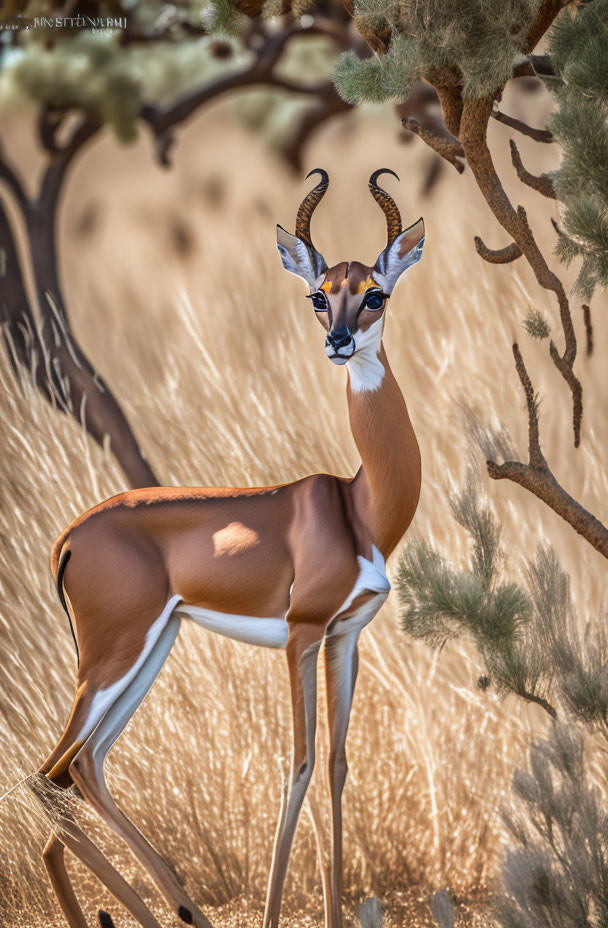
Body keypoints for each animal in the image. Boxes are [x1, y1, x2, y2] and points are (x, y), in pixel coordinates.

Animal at [35, 170, 426, 928]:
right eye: (318, 293)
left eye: (375, 292)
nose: (338, 342)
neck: (359, 505)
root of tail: (68, 536)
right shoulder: (301, 634)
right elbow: (299, 765)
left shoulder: (345, 637)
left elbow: (338, 765)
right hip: (114, 657)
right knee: (54, 776)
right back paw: (179, 908)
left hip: (150, 650)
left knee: (78, 770)